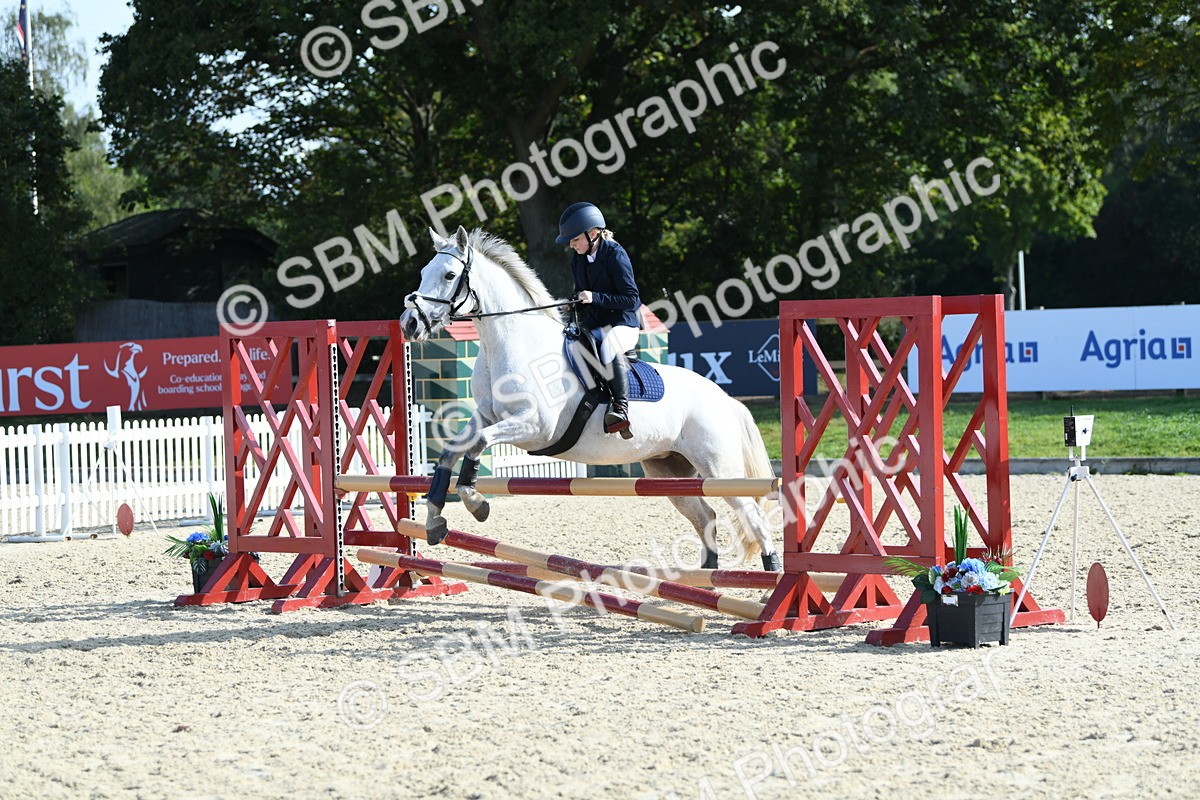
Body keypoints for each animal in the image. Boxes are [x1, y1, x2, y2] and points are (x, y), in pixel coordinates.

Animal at [400, 225, 780, 571]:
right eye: (422, 273)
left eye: (450, 275)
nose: (409, 324)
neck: (511, 343)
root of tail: (724, 398)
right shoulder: (487, 416)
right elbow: (452, 450)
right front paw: (434, 521)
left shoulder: (534, 427)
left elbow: (478, 443)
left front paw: (475, 501)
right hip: (669, 470)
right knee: (705, 515)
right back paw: (706, 574)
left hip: (719, 468)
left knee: (752, 515)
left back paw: (771, 571)